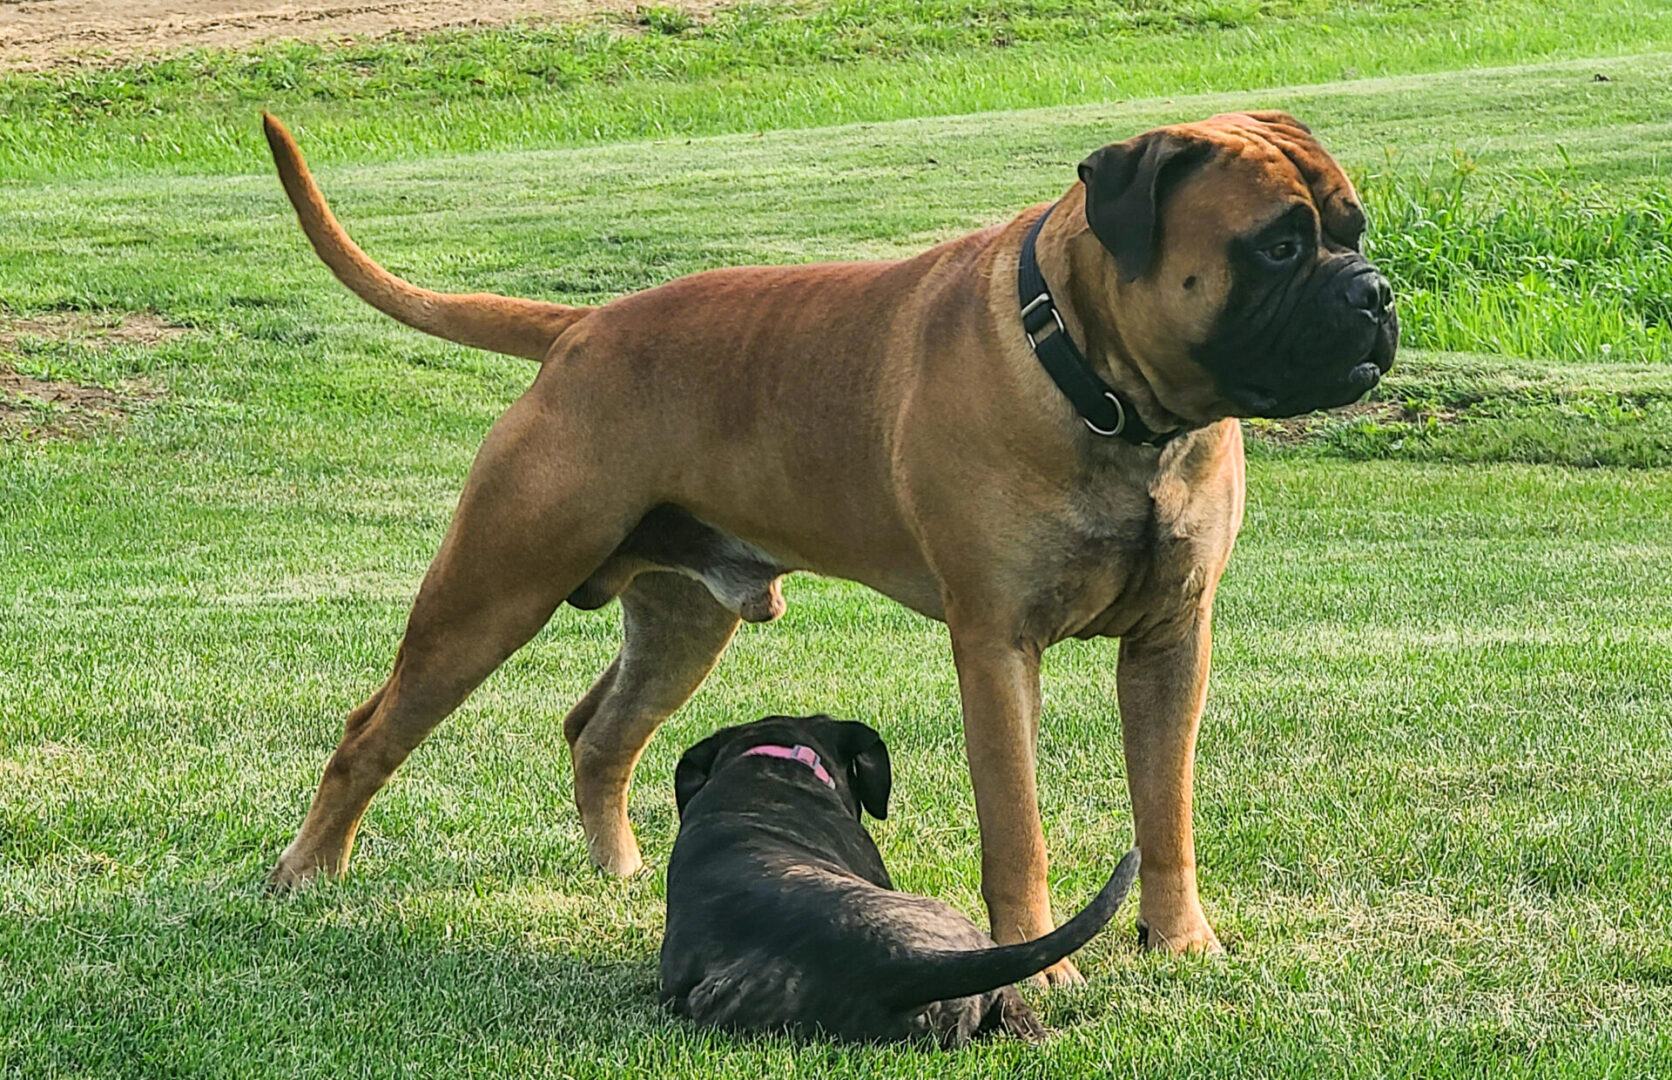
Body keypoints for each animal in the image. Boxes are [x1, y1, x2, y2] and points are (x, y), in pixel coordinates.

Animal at [260, 107, 1391, 983]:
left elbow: (1167, 811)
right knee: (370, 735)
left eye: (1354, 227)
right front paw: (1040, 961)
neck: (1108, 396)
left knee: (599, 733)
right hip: (489, 593)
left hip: (680, 624)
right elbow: (1015, 827)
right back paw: (306, 875)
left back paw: (620, 872)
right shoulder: (997, 648)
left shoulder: (1170, 642)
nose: (1374, 290)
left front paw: (1180, 939)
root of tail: (583, 328)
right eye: (1278, 246)